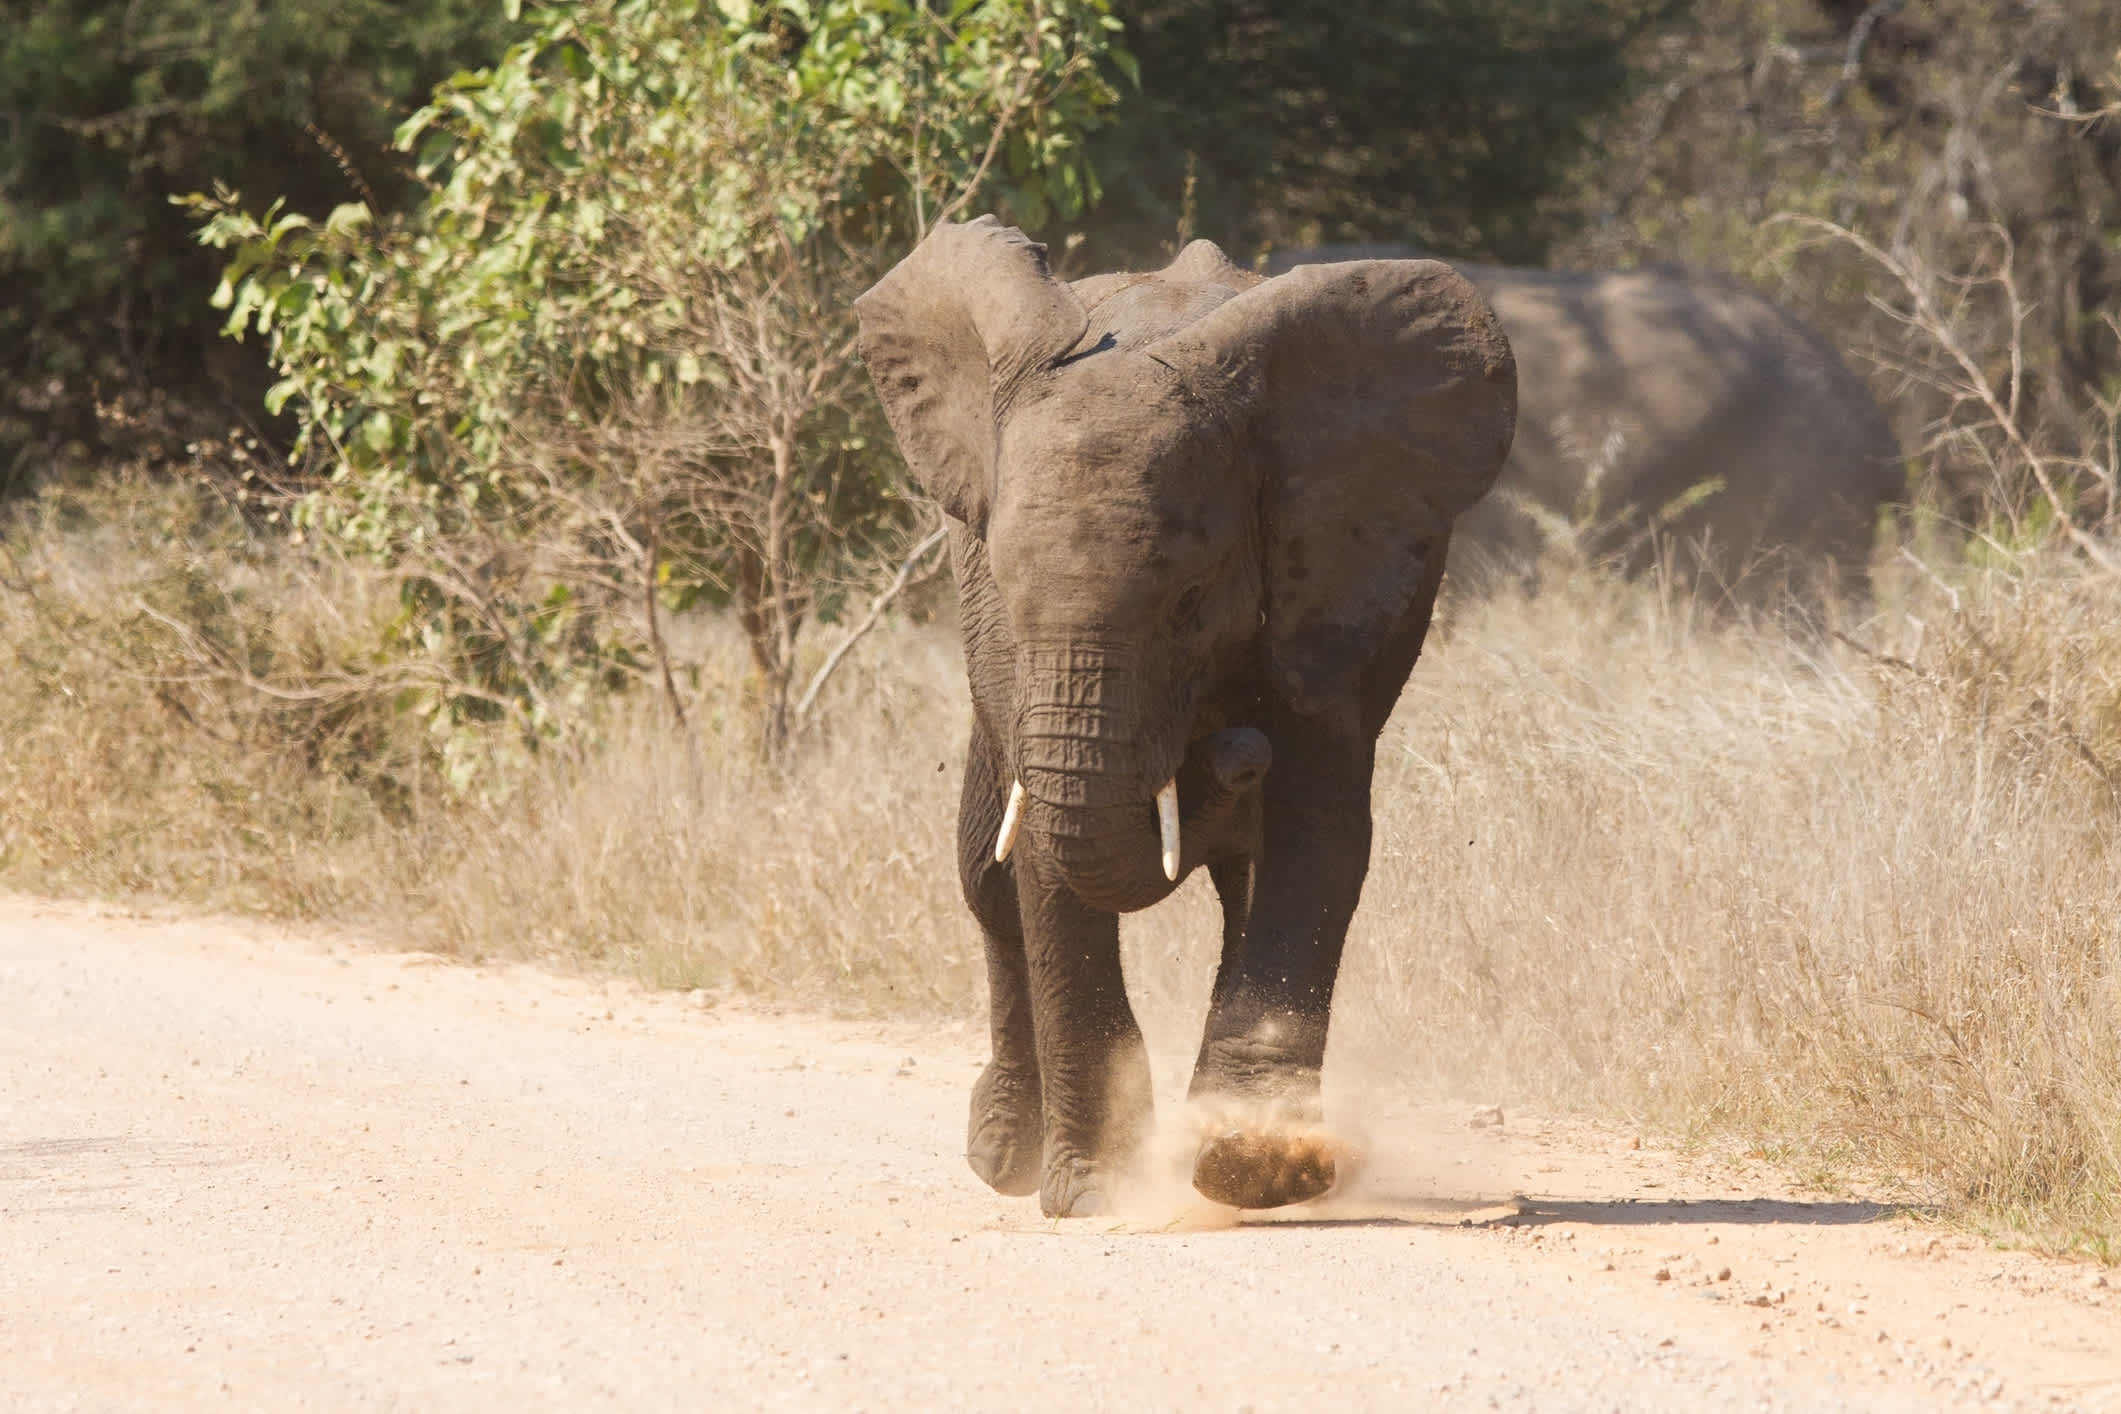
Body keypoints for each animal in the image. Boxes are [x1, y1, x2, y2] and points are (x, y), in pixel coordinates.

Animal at [852, 218, 1518, 1221]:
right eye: (998, 580)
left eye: (1193, 600)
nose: (1233, 749)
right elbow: (1042, 856)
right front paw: (1099, 1194)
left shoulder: (1327, 587)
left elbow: (1319, 836)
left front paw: (1250, 1171)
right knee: (984, 878)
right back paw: (1004, 1155)